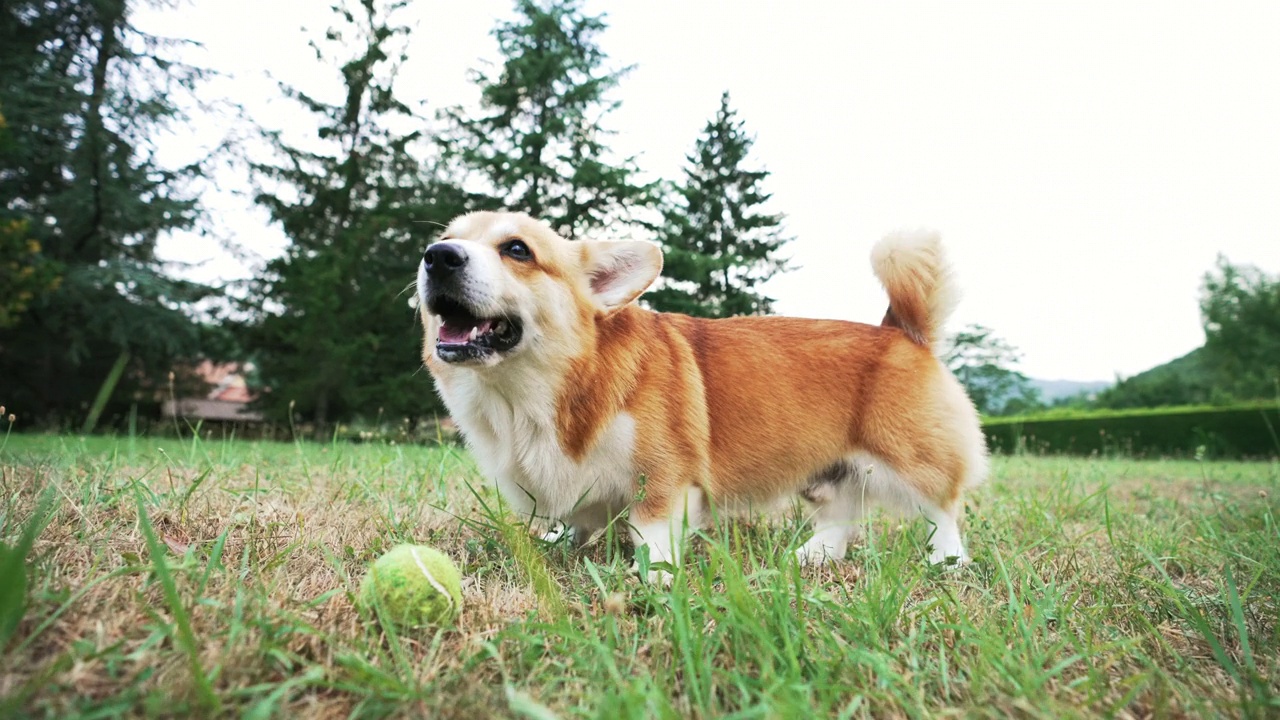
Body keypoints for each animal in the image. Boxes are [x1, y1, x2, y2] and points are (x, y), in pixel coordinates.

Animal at [419, 210, 988, 579]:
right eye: (446, 238)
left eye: (517, 249)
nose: (436, 256)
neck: (535, 394)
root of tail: (902, 331)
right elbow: (575, 524)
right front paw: (560, 546)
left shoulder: (664, 478)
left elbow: (650, 535)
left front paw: (655, 581)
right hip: (827, 472)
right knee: (842, 515)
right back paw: (812, 557)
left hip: (912, 456)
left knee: (943, 507)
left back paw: (947, 560)